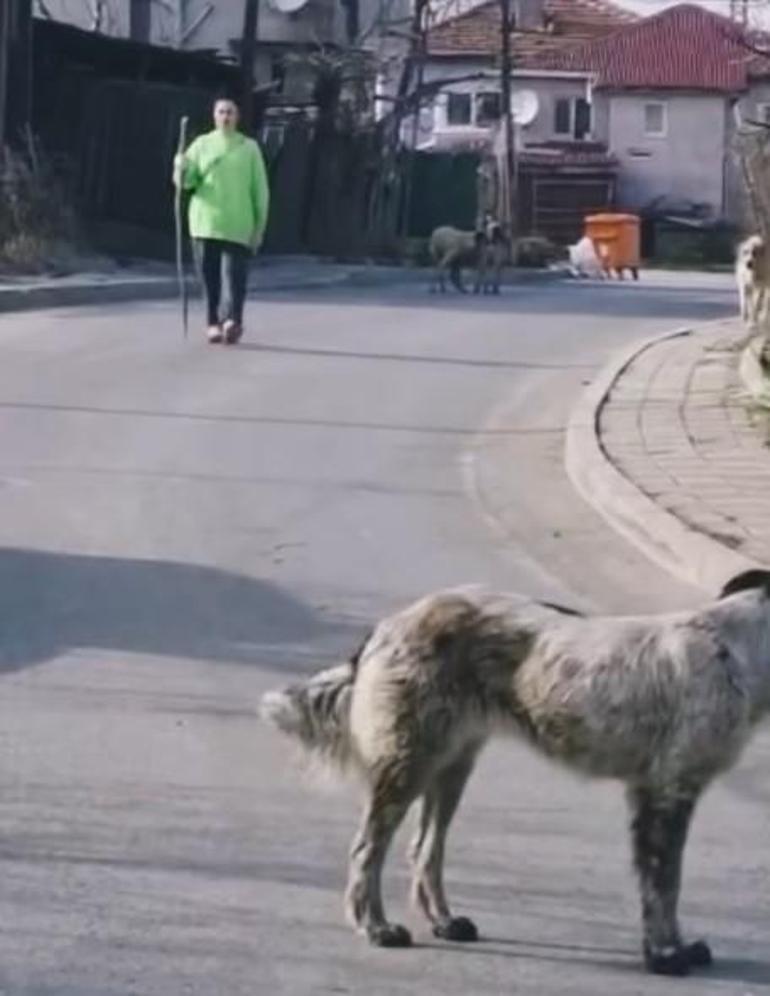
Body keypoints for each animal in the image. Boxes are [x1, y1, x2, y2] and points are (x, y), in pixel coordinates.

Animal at [260, 572, 770, 976]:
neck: (734, 651)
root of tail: (388, 626)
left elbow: (666, 887)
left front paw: (675, 948)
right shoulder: (665, 795)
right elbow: (664, 886)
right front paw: (665, 955)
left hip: (452, 764)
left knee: (425, 849)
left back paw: (444, 922)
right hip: (409, 764)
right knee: (368, 850)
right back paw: (376, 927)